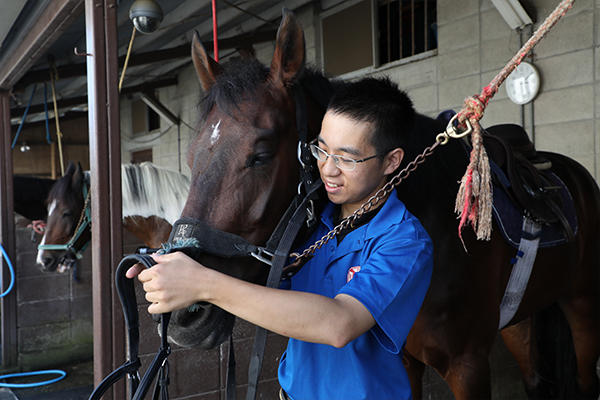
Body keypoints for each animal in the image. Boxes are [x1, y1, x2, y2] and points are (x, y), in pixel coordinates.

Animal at [166, 10, 596, 400]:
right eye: (190, 157)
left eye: (261, 154)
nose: (184, 316)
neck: (439, 230)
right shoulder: (402, 362)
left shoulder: (468, 365)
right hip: (518, 320)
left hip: (582, 303)